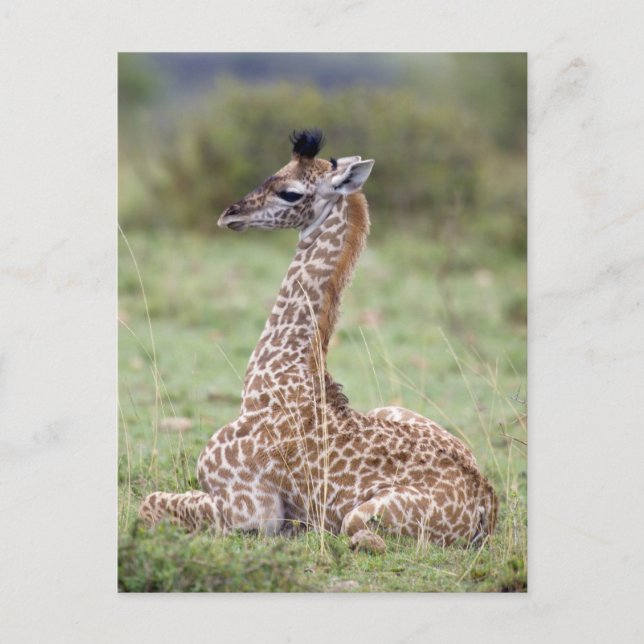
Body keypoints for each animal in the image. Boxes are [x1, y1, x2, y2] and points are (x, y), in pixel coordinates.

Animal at [139, 129, 498, 551]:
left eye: (290, 193)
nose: (230, 213)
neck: (270, 381)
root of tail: (486, 504)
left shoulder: (250, 513)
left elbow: (151, 502)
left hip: (363, 518)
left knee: (362, 536)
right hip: (393, 408)